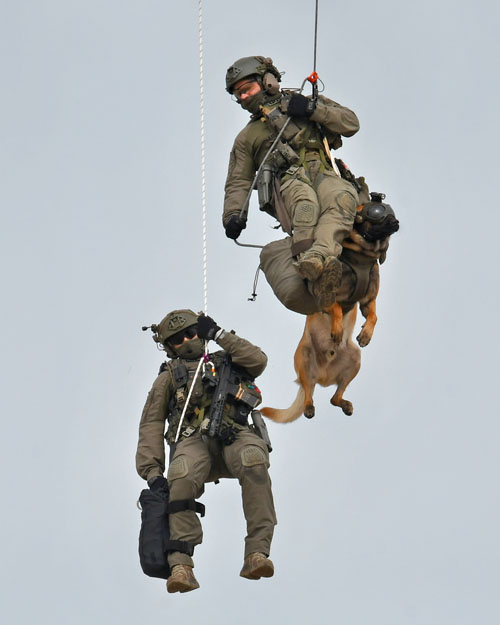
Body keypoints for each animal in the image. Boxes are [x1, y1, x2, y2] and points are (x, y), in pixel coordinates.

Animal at [262, 202, 398, 422]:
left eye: (390, 210)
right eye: (376, 212)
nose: (396, 222)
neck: (363, 255)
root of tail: (322, 377)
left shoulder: (368, 301)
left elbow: (374, 316)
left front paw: (366, 334)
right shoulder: (325, 298)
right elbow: (336, 308)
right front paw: (337, 329)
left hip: (355, 358)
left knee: (334, 398)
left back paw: (344, 404)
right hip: (304, 358)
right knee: (308, 392)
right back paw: (309, 407)